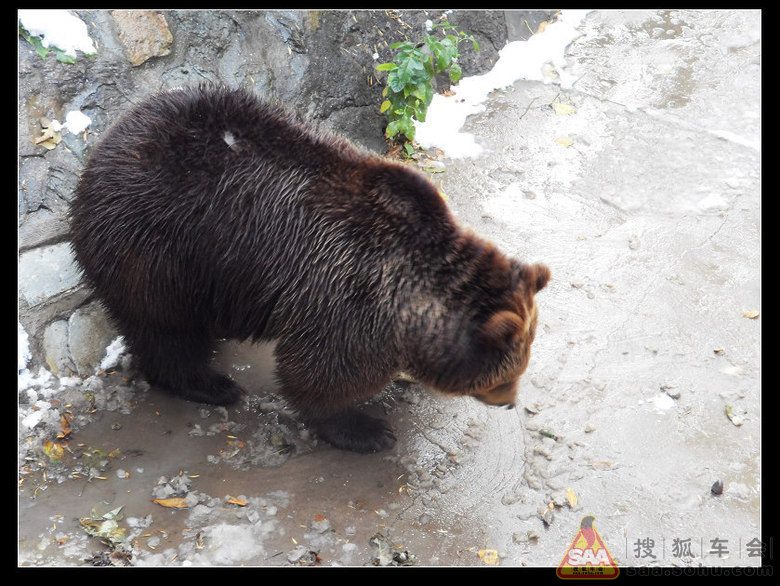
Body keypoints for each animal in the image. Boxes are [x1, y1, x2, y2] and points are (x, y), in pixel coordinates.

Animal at [70, 85, 552, 452]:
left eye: (519, 367)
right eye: (505, 373)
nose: (509, 401)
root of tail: (104, 144)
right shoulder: (346, 292)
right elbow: (322, 371)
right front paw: (366, 429)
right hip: (159, 247)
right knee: (165, 326)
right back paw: (212, 384)